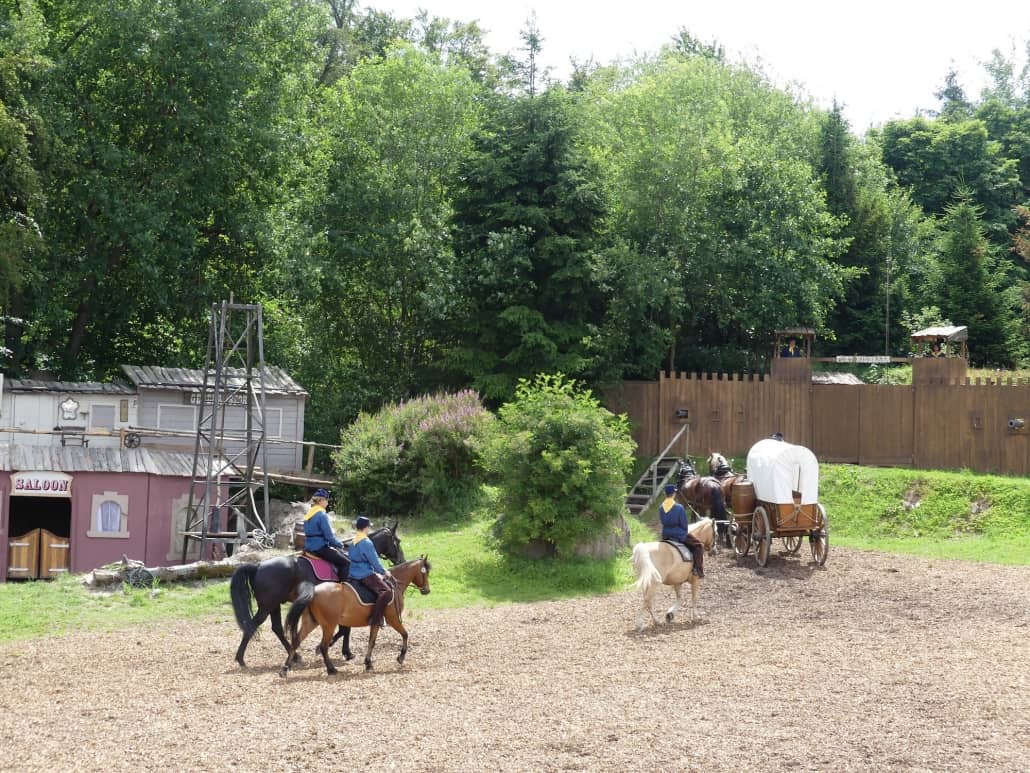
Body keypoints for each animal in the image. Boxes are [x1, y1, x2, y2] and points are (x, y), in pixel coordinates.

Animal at [229, 523, 401, 667]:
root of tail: (258, 565)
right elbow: (345, 629)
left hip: (274, 605)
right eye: (397, 541)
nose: (400, 559)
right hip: (267, 606)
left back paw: (295, 655)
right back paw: (240, 658)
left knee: (276, 628)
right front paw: (334, 648)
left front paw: (344, 651)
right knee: (253, 625)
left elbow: (346, 628)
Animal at [278, 556, 430, 676]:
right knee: (323, 646)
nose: (427, 590)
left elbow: (371, 641)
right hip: (328, 625)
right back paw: (331, 669)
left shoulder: (376, 621)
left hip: (311, 622)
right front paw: (401, 657)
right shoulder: (393, 619)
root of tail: (314, 590)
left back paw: (285, 669)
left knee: (296, 641)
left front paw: (368, 663)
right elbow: (405, 634)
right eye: (425, 573)